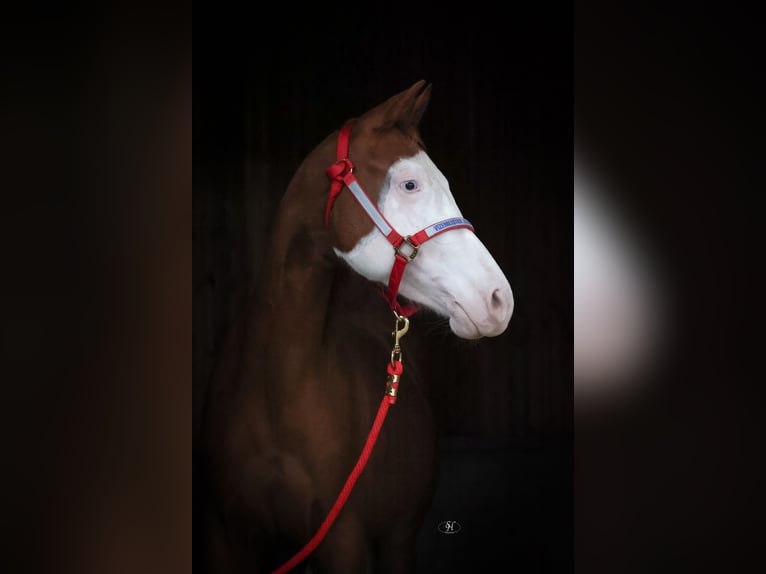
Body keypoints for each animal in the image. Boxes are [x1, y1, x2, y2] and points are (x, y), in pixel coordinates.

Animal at [200, 80, 514, 573]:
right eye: (409, 184)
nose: (499, 300)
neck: (276, 392)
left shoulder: (342, 539)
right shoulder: (226, 535)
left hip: (398, 541)